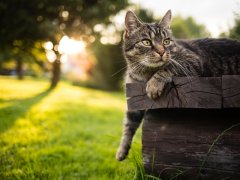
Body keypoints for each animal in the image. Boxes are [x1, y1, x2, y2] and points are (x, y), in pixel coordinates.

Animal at [116, 9, 240, 162]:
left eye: (166, 41)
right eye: (146, 42)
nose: (162, 52)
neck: (144, 73)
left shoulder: (192, 60)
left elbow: (168, 67)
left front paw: (154, 84)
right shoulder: (134, 97)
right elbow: (128, 125)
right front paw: (122, 150)